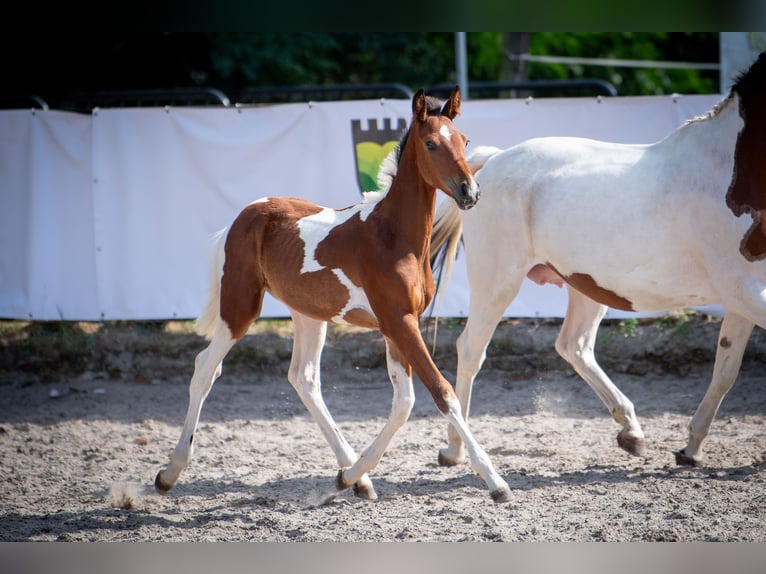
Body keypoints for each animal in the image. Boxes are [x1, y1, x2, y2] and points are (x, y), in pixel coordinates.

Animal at [154, 86, 512, 505]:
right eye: (430, 143)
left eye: (464, 140)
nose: (469, 192)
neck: (393, 237)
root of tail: (244, 215)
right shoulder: (398, 321)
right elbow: (442, 392)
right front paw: (495, 481)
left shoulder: (398, 325)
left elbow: (403, 404)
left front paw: (348, 477)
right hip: (239, 307)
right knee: (204, 369)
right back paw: (169, 473)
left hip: (309, 314)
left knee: (304, 378)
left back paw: (356, 478)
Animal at [430, 51, 766, 470]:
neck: (731, 170)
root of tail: (490, 162)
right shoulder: (743, 289)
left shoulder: (741, 296)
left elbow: (725, 370)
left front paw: (691, 448)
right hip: (498, 281)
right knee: (471, 349)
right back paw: (455, 450)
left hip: (587, 284)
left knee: (573, 345)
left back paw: (631, 432)